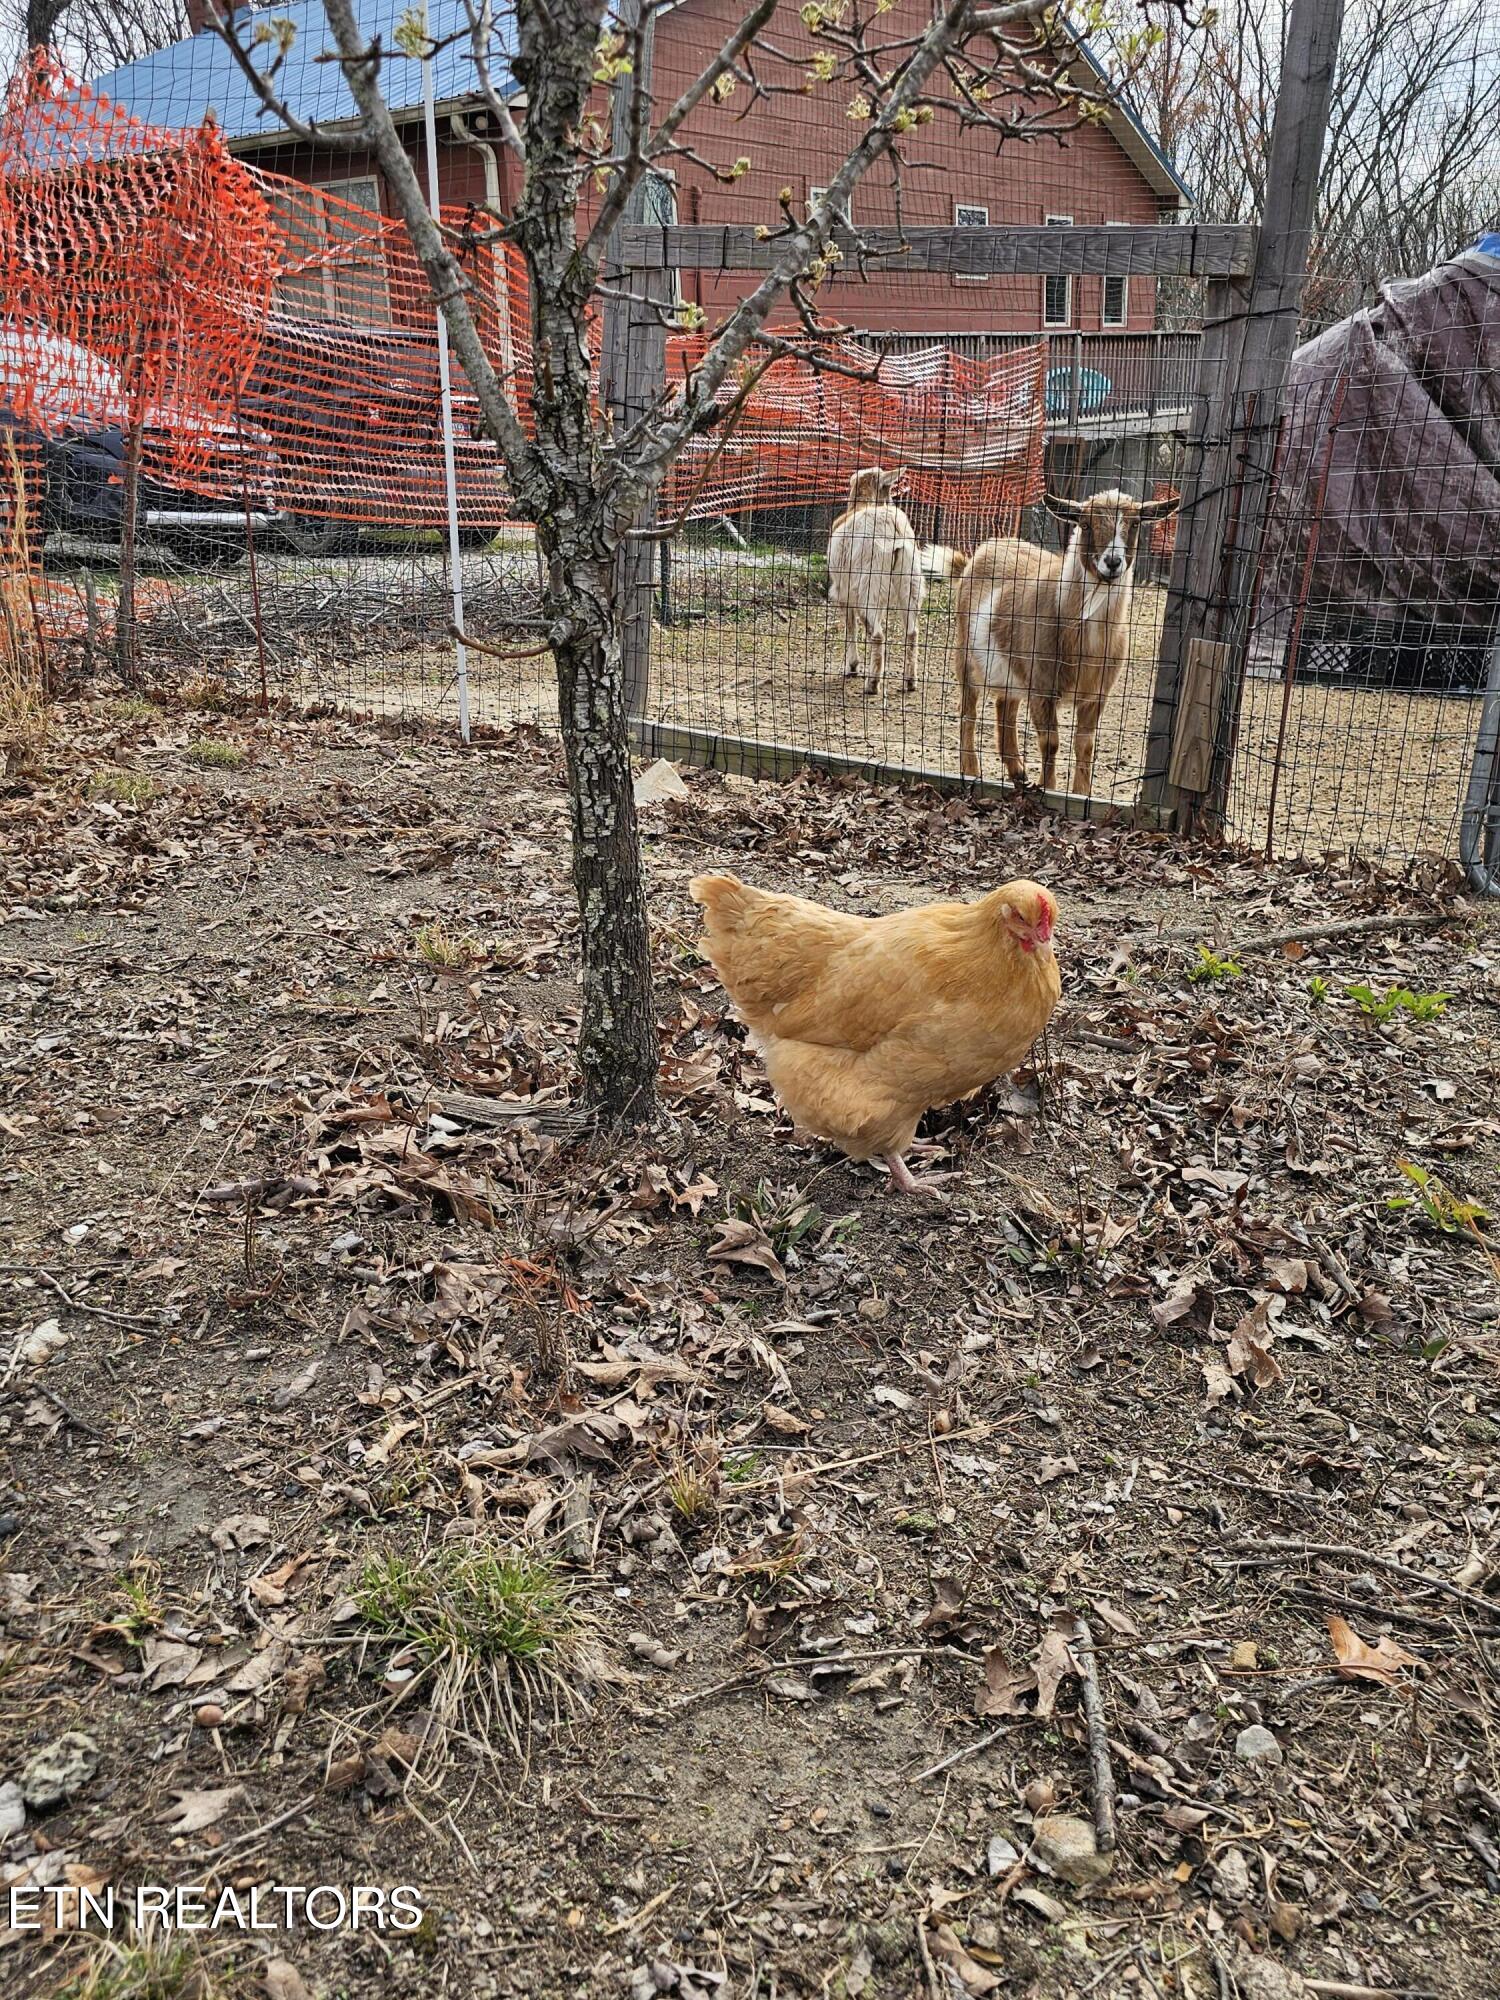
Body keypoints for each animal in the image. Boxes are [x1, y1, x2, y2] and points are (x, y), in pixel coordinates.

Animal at [826, 467, 928, 695]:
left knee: (878, 634)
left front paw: (852, 667)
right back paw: (910, 681)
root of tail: (893, 528)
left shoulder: (844, 592)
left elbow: (851, 627)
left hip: (870, 584)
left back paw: (872, 684)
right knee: (912, 632)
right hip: (910, 582)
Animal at [955, 488, 1179, 796]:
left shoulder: (1096, 694)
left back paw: (1017, 772)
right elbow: (1050, 743)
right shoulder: (1042, 687)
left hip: (1011, 667)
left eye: (1135, 524)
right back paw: (971, 770)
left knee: (1005, 706)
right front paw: (1048, 788)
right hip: (966, 656)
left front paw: (1081, 793)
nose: (1112, 562)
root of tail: (991, 544)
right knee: (969, 712)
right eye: (1084, 524)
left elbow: (1085, 744)